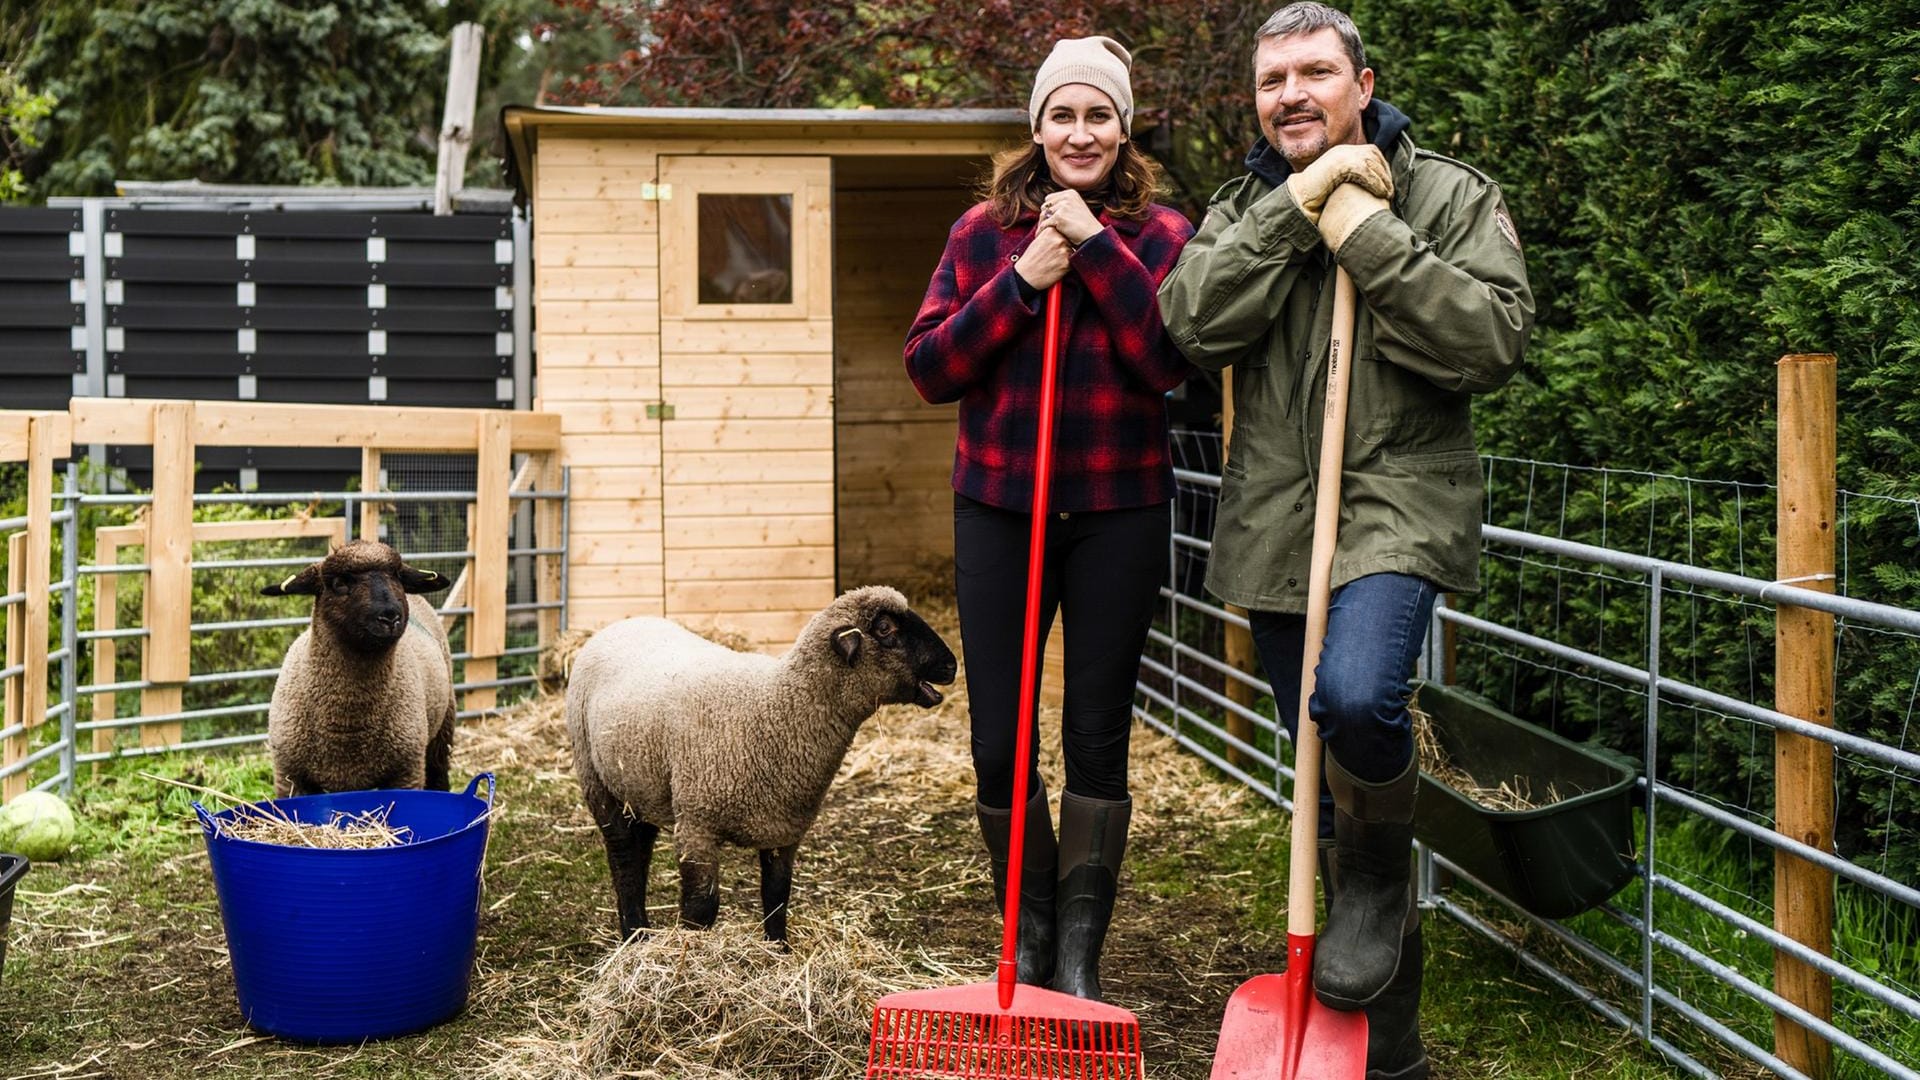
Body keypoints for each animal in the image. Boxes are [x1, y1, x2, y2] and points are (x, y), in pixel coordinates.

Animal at [259, 534, 453, 791]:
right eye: (340, 583)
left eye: (397, 576)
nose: (390, 616)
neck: (346, 724)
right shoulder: (290, 776)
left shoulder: (406, 772)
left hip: (442, 729)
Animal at [568, 580, 960, 941]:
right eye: (885, 629)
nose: (952, 664)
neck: (773, 706)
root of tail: (623, 623)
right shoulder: (696, 825)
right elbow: (701, 907)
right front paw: (689, 954)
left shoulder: (784, 829)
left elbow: (777, 897)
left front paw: (778, 950)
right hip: (596, 779)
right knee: (623, 858)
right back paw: (634, 935)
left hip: (640, 786)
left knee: (641, 849)